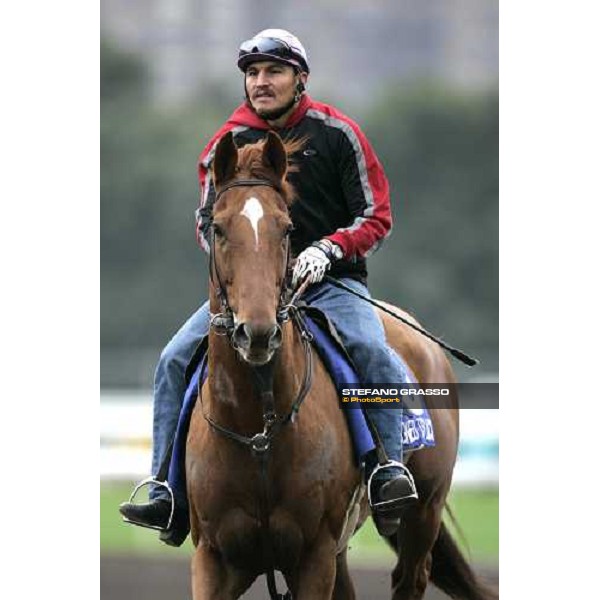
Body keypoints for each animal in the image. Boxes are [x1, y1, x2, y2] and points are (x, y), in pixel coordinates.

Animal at [184, 129, 496, 596]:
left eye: (287, 228)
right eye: (217, 228)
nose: (256, 332)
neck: (258, 427)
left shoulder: (313, 555)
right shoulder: (214, 557)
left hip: (423, 509)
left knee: (410, 574)